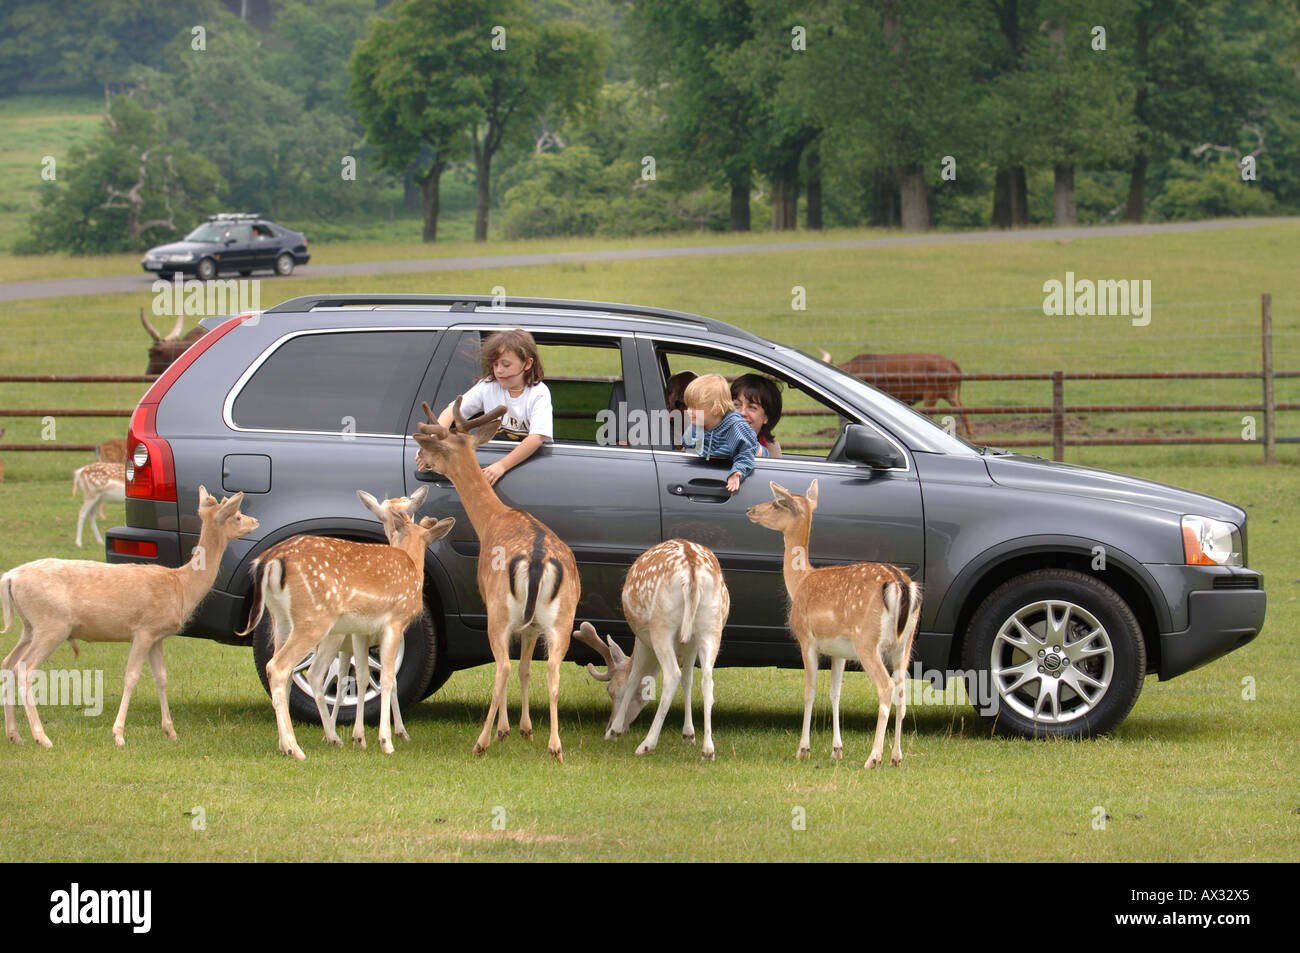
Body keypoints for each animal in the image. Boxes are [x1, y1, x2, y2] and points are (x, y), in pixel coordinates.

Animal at [1, 486, 257, 748]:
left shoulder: (158, 636)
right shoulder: (144, 630)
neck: (181, 587)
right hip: (52, 624)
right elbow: (131, 677)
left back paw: (15, 734)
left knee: (8, 663)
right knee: (25, 669)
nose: (255, 521)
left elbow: (162, 677)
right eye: (237, 516)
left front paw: (171, 731)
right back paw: (42, 737)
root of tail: (10, 577)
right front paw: (118, 735)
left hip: (30, 626)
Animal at [238, 487, 454, 760]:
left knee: (285, 671)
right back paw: (297, 748)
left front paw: (360, 738)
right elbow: (388, 679)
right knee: (281, 668)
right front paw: (387, 740)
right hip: (314, 619)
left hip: (280, 620)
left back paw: (288, 744)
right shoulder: (394, 622)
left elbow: (362, 677)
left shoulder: (362, 631)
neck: (413, 564)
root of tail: (269, 561)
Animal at [411, 397, 579, 762]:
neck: (490, 521)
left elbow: (511, 668)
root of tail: (536, 559)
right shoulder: (531, 626)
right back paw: (555, 747)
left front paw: (505, 730)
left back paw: (482, 741)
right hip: (563, 617)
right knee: (553, 671)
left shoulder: (490, 603)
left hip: (500, 612)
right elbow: (526, 669)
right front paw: (526, 729)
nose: (420, 458)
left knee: (501, 667)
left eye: (435, 447)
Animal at [573, 539, 729, 760]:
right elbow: (688, 680)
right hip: (711, 628)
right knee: (707, 679)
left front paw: (614, 732)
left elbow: (634, 678)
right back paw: (708, 750)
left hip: (660, 626)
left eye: (610, 690)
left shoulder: (642, 637)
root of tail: (691, 571)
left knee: (672, 675)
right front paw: (689, 735)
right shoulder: (690, 645)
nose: (609, 724)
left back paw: (646, 744)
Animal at [746, 480, 922, 768]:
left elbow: (809, 691)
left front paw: (803, 748)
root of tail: (899, 583)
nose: (750, 509)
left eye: (776, 504)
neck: (800, 581)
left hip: (867, 640)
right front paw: (836, 749)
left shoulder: (806, 639)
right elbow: (835, 692)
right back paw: (896, 757)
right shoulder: (839, 651)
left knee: (885, 687)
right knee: (902, 692)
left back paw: (874, 757)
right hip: (904, 644)